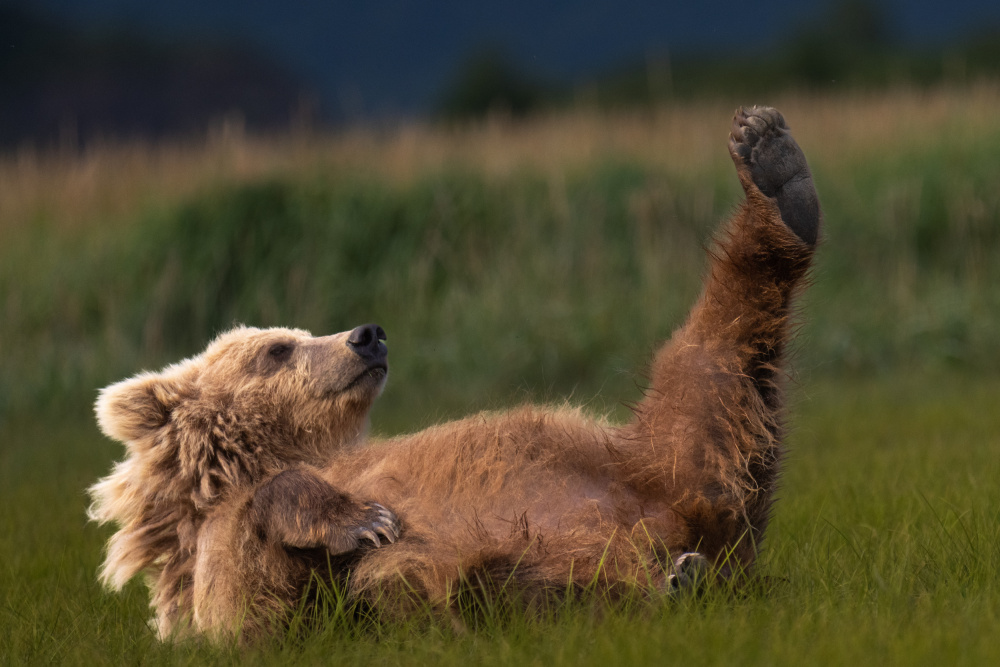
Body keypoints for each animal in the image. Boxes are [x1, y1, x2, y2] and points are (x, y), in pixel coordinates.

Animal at [90, 107, 820, 644]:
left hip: (651, 456)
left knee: (716, 365)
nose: (367, 333)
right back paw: (677, 582)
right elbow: (264, 596)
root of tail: (693, 529)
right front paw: (363, 520)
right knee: (514, 585)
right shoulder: (228, 567)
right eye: (276, 349)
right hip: (600, 528)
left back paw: (777, 173)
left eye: (295, 335)